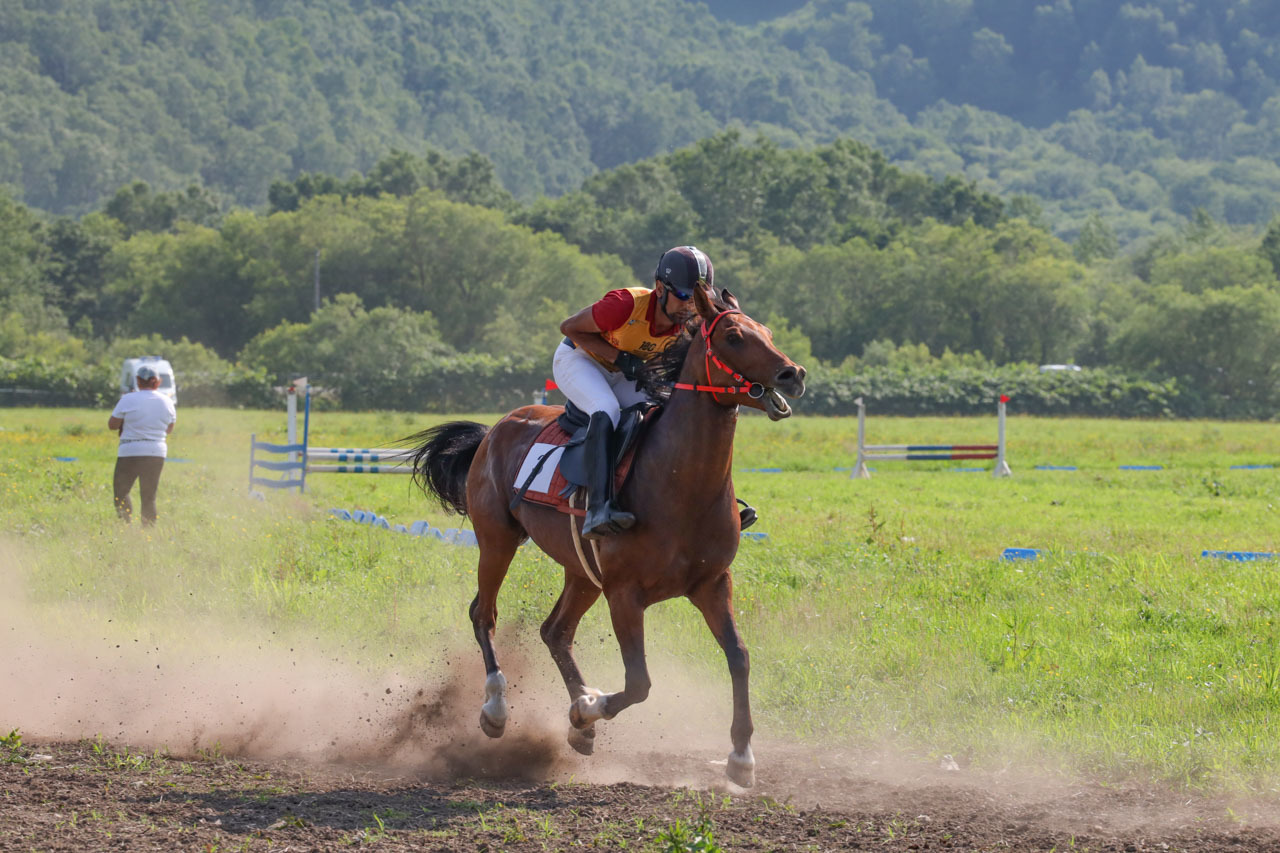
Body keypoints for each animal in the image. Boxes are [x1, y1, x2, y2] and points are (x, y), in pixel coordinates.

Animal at [404, 284, 803, 783]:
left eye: (766, 331)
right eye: (733, 336)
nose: (793, 374)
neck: (680, 481)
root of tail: (495, 429)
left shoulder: (712, 584)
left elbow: (739, 657)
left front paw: (742, 757)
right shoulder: (625, 594)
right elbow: (640, 682)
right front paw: (587, 708)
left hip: (581, 571)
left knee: (555, 631)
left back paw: (580, 722)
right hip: (497, 541)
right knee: (484, 614)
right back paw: (498, 709)